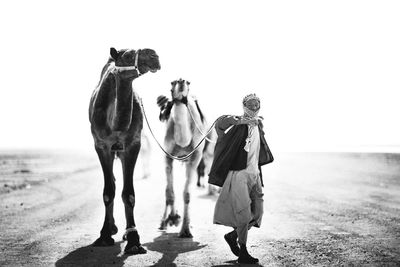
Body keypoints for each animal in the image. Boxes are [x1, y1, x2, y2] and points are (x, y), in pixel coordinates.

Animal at [90, 47, 160, 255]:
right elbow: (108, 191)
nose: (154, 55)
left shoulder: (132, 145)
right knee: (112, 182)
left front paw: (134, 239)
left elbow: (128, 194)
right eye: (128, 55)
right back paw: (112, 228)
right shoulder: (101, 145)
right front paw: (104, 236)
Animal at [155, 78, 216, 238]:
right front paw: (172, 218)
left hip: (208, 151)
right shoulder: (167, 155)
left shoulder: (195, 157)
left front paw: (185, 230)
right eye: (172, 82)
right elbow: (169, 191)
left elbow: (187, 193)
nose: (181, 81)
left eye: (188, 82)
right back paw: (164, 221)